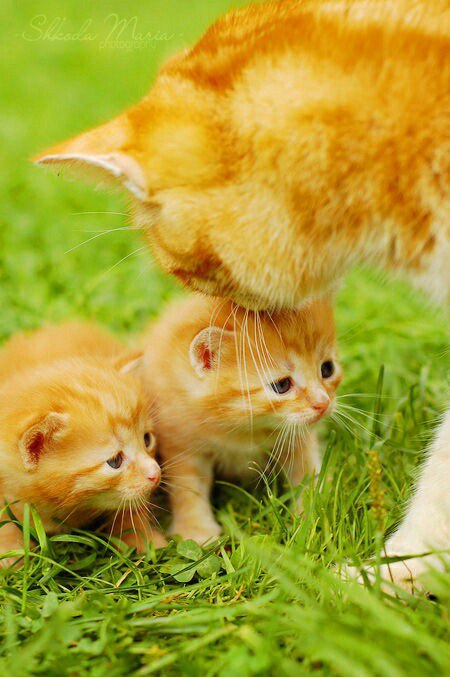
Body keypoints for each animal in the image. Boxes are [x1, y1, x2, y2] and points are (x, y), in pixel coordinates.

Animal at [0, 322, 164, 567]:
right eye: (115, 461)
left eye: (147, 439)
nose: (156, 473)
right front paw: (12, 556)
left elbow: (130, 509)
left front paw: (143, 539)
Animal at [140, 294, 341, 543]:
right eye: (282, 385)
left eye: (327, 369)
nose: (323, 403)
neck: (243, 429)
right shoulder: (180, 443)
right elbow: (188, 487)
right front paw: (196, 531)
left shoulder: (298, 438)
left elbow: (306, 471)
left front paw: (311, 513)